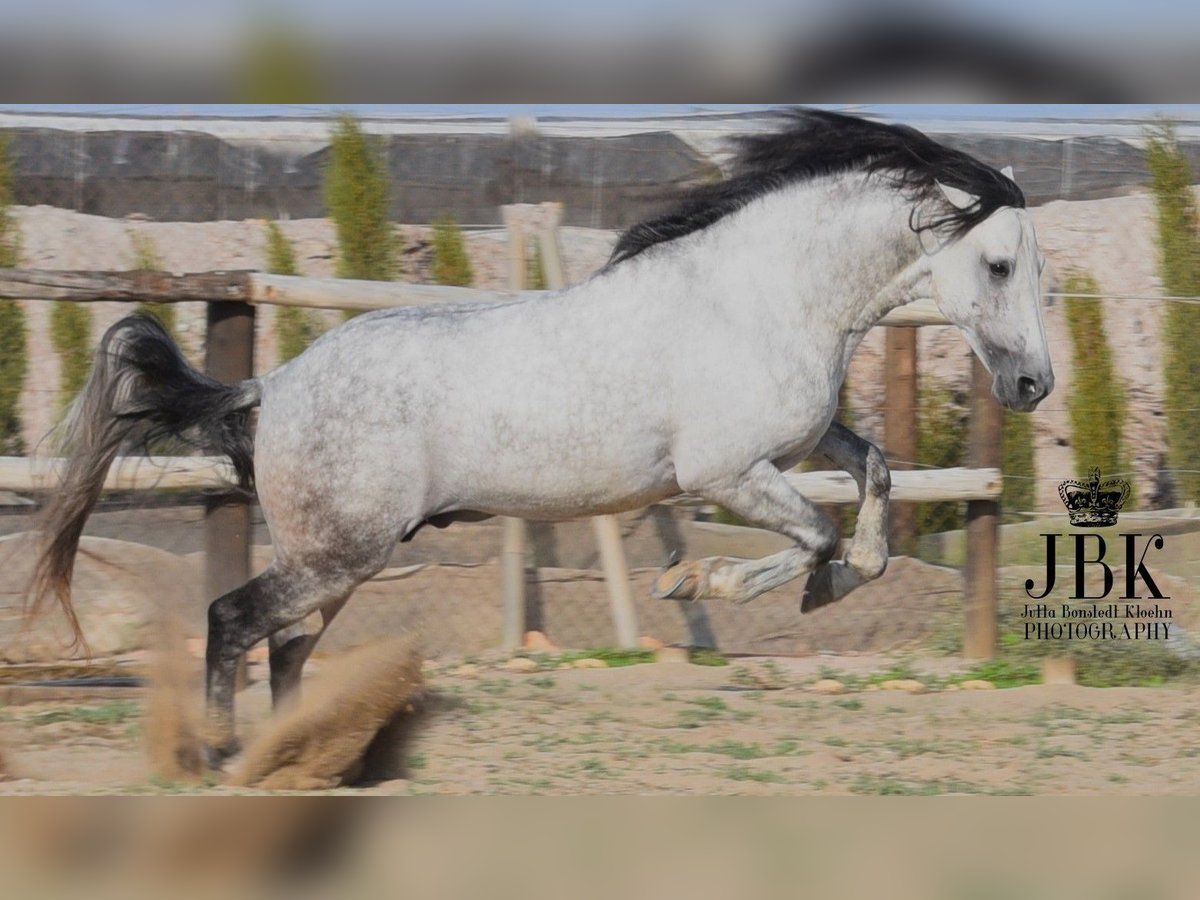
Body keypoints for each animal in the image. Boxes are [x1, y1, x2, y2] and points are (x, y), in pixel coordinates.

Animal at [30, 109, 1051, 763]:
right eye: (1001, 265)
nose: (1034, 386)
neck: (757, 296)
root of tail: (271, 387)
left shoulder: (796, 447)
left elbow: (873, 477)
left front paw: (831, 588)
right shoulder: (724, 471)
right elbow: (817, 532)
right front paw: (700, 581)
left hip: (336, 559)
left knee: (282, 646)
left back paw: (307, 757)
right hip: (338, 553)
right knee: (233, 622)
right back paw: (219, 756)